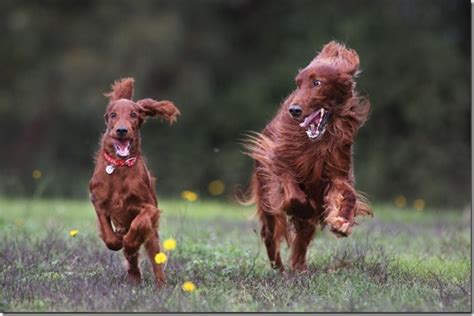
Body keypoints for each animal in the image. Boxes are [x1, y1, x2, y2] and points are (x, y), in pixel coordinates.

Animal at [89, 77, 180, 286]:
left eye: (133, 114)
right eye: (113, 115)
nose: (122, 130)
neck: (119, 167)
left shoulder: (149, 207)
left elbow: (139, 224)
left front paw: (129, 242)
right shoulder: (98, 201)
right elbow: (109, 235)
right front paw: (117, 240)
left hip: (152, 236)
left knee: (155, 258)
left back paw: (160, 284)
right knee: (132, 261)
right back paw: (134, 277)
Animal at [244, 41, 374, 272]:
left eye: (317, 82)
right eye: (298, 84)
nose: (294, 110)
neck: (318, 142)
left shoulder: (337, 174)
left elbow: (349, 195)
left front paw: (342, 222)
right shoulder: (281, 165)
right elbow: (295, 196)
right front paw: (306, 209)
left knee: (302, 239)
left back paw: (299, 267)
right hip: (267, 196)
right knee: (270, 233)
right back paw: (279, 267)